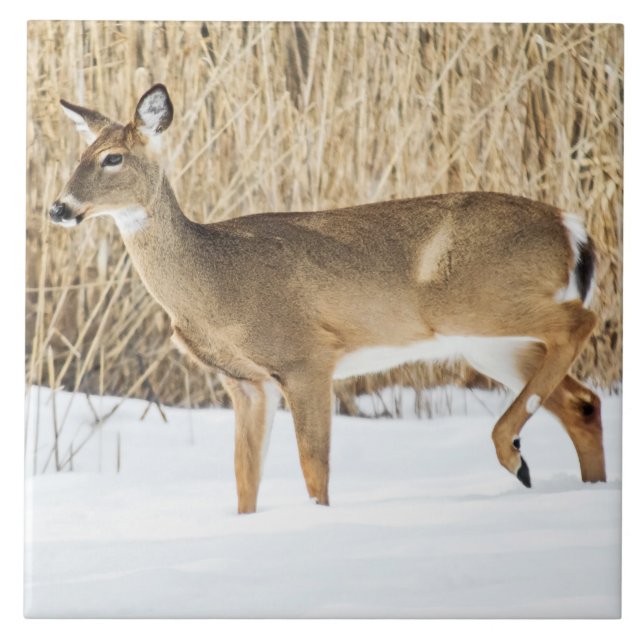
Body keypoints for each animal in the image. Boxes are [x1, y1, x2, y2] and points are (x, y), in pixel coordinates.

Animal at [49, 84, 606, 513]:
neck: (215, 281)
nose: (58, 207)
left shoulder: (306, 357)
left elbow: (313, 469)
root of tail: (571, 227)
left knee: (583, 322)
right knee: (582, 400)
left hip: (477, 303)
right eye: (78, 157)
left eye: (112, 158)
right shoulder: (246, 383)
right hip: (486, 341)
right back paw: (578, 482)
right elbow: (244, 481)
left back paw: (513, 453)